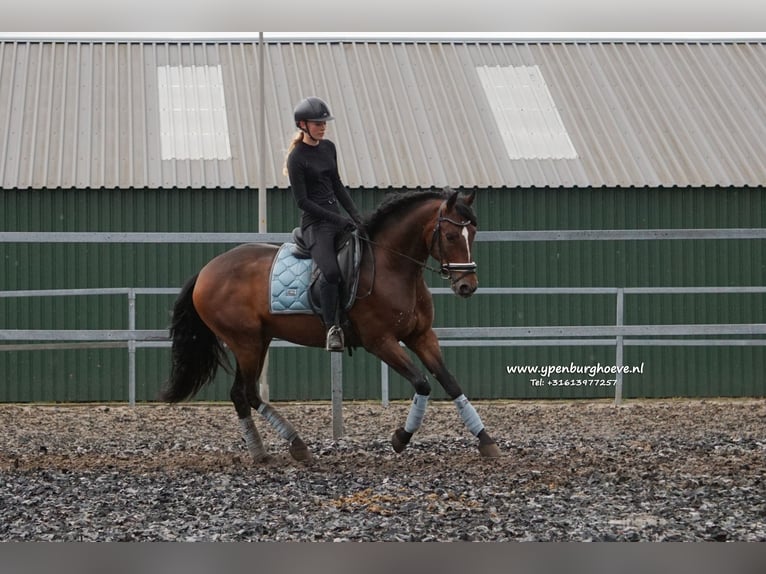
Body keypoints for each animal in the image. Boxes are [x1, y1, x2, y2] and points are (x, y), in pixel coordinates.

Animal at [160, 188, 504, 464]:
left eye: (473, 234)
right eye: (450, 236)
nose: (467, 286)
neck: (392, 266)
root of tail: (207, 270)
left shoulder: (421, 336)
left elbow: (451, 383)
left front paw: (486, 441)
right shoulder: (380, 342)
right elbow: (422, 383)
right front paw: (400, 438)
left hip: (259, 340)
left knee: (243, 394)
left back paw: (277, 449)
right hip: (246, 343)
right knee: (246, 394)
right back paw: (281, 448)